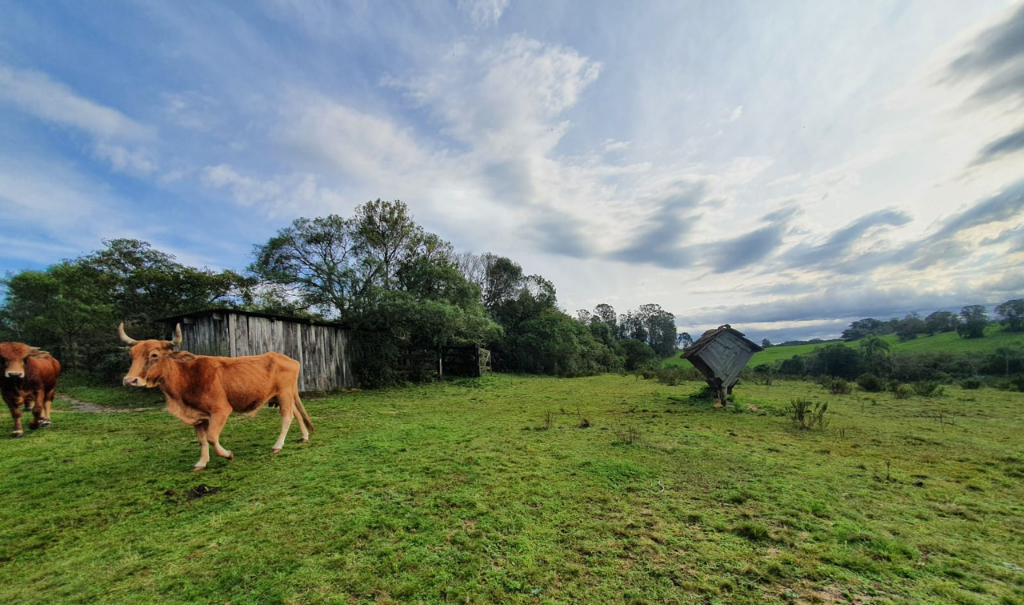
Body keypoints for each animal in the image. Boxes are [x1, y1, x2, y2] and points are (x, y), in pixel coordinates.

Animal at [119, 323, 311, 470]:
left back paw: (277, 446)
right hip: (282, 397)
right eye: (131, 355)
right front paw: (201, 463)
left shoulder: (221, 410)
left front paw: (227, 454)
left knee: (287, 417)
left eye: (154, 355)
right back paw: (304, 436)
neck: (188, 376)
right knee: (297, 414)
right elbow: (202, 441)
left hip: (284, 395)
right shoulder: (198, 416)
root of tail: (290, 359)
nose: (130, 380)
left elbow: (211, 437)